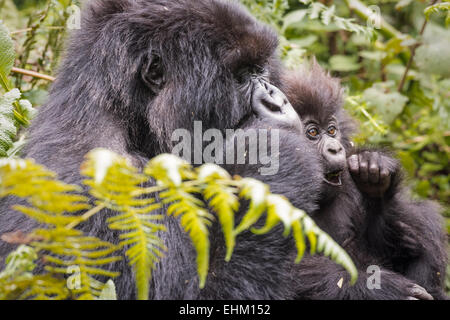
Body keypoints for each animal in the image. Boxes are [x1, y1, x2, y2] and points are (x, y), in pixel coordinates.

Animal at [282, 62, 446, 300]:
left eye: (332, 130)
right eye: (312, 132)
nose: (335, 148)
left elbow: (402, 239)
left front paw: (375, 181)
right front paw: (382, 288)